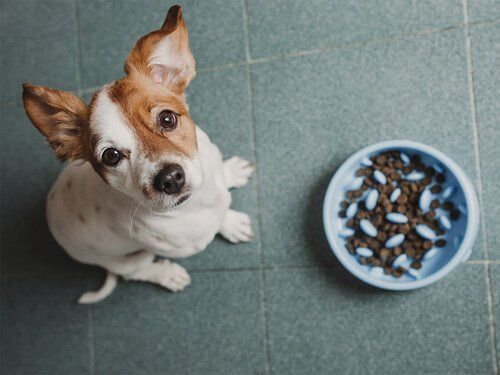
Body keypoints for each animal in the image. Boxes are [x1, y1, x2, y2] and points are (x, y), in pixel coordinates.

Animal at [20, 5, 254, 304]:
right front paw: (231, 224)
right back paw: (167, 275)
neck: (194, 203)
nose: (170, 179)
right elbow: (217, 219)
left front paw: (230, 176)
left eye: (167, 119)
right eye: (111, 156)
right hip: (131, 259)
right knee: (134, 273)